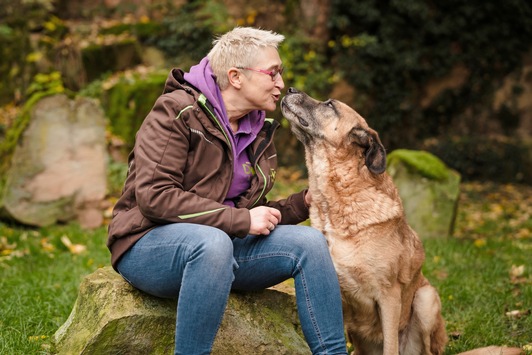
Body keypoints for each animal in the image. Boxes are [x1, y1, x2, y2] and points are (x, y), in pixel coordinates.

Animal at [280, 88, 520, 355]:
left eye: (330, 105)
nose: (290, 89)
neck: (338, 200)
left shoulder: (389, 296)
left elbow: (390, 344)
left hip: (426, 299)